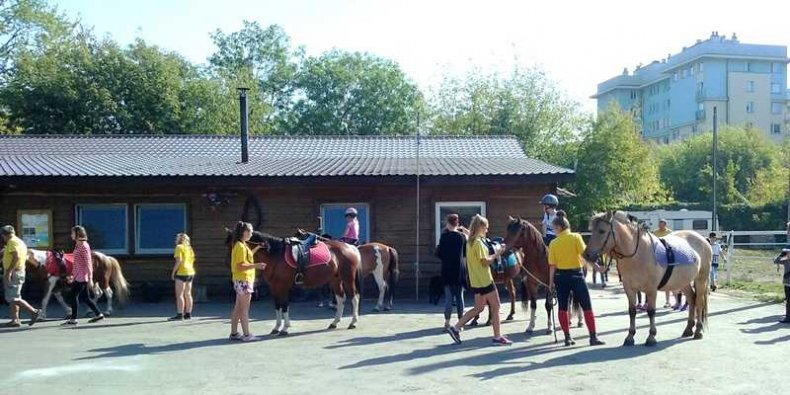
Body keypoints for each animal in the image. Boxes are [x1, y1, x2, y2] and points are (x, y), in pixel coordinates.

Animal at [224, 229, 364, 338]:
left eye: (235, 244)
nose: (229, 264)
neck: (276, 255)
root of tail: (350, 247)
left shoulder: (283, 287)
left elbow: (285, 306)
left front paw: (285, 329)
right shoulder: (274, 287)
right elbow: (277, 307)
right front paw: (276, 328)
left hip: (348, 279)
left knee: (354, 297)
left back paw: (353, 322)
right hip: (335, 280)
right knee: (341, 299)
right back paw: (334, 323)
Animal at [580, 210, 712, 346]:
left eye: (602, 231)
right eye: (592, 230)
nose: (586, 255)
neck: (638, 254)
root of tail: (703, 239)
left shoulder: (651, 289)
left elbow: (651, 311)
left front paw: (651, 337)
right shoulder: (629, 288)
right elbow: (632, 311)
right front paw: (630, 337)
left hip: (701, 279)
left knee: (699, 302)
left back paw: (698, 331)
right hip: (683, 282)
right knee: (691, 299)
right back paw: (688, 329)